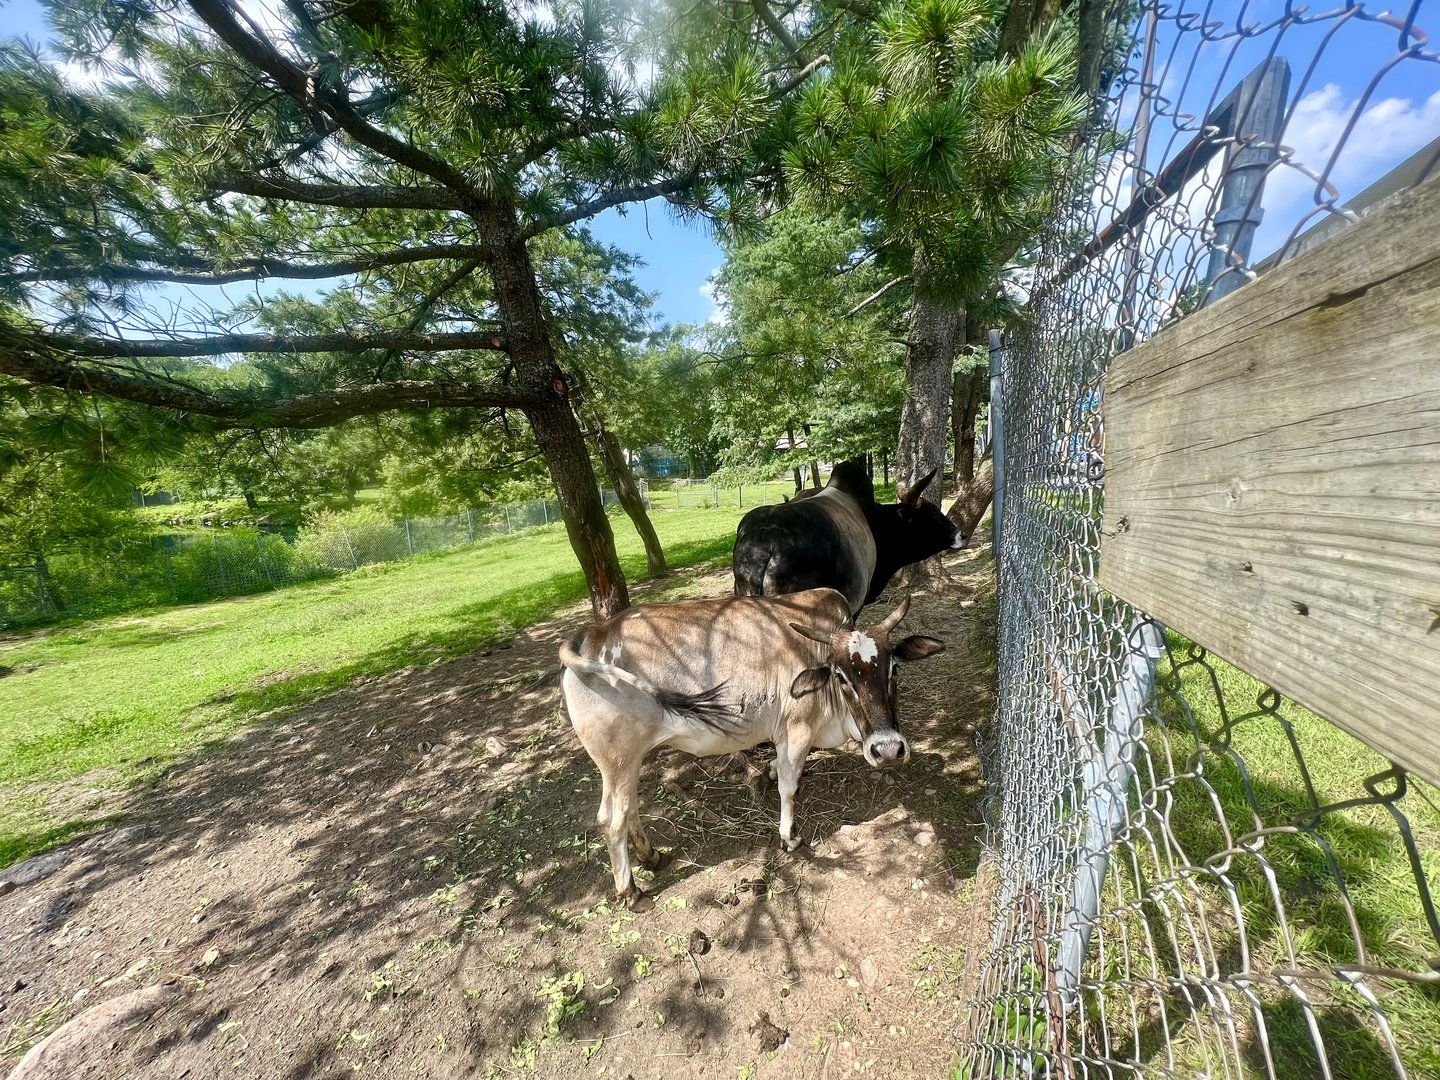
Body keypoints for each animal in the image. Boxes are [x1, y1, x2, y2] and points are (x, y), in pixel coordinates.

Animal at [559, 589, 943, 906]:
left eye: (894, 669)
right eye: (841, 676)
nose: (888, 749)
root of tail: (591, 634)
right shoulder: (797, 730)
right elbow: (789, 786)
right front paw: (789, 837)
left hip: (627, 763)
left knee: (628, 810)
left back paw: (651, 856)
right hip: (618, 761)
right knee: (611, 820)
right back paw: (631, 891)